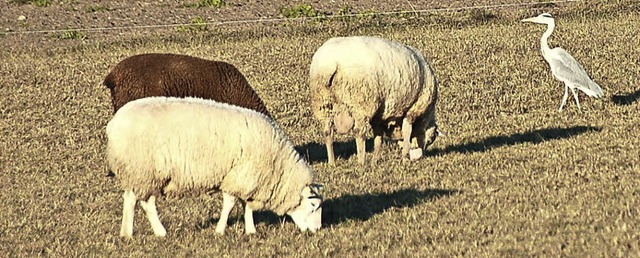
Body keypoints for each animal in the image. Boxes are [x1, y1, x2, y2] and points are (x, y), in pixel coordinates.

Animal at [108, 95, 324, 237]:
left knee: (134, 200)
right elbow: (230, 204)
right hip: (143, 170)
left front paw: (250, 231)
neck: (277, 163)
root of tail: (113, 124)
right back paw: (153, 232)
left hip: (140, 173)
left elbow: (247, 206)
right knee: (143, 202)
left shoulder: (246, 179)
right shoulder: (238, 175)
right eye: (313, 206)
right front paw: (220, 231)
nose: (317, 230)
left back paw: (133, 233)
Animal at [308, 35, 438, 165]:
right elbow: (406, 133)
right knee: (359, 132)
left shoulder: (379, 116)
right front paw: (405, 158)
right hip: (361, 102)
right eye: (430, 139)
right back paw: (361, 161)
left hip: (323, 103)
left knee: (327, 132)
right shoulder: (412, 111)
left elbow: (378, 137)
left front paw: (375, 160)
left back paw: (332, 162)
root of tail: (331, 63)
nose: (420, 157)